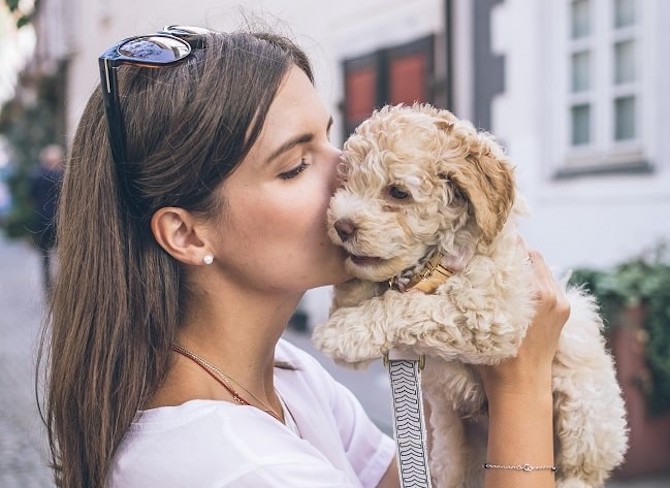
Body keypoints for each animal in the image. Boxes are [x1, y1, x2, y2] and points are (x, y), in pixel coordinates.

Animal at [314, 104, 632, 488]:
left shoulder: (491, 314)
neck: (433, 264)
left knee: (581, 470)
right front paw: (351, 295)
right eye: (344, 181)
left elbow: (410, 306)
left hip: (587, 417)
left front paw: (342, 331)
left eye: (398, 192)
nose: (341, 226)